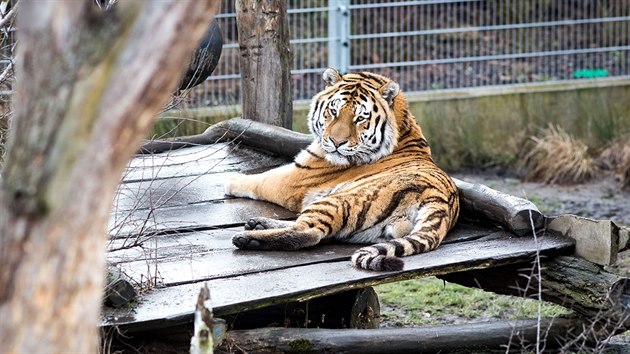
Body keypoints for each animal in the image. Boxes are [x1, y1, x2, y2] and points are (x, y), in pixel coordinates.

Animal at [225, 68, 462, 270]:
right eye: (333, 111)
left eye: (360, 118)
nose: (336, 142)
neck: (404, 126)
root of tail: (440, 200)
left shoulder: (294, 178)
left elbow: (261, 179)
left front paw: (231, 180)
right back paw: (258, 223)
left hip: (337, 200)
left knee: (308, 232)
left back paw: (248, 238)